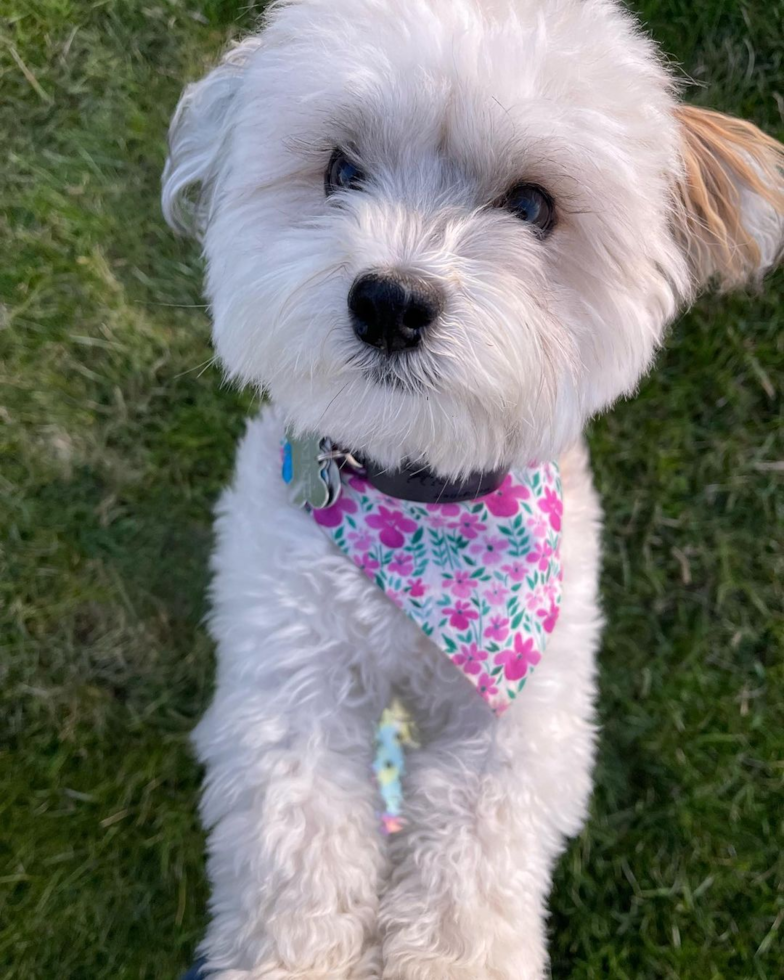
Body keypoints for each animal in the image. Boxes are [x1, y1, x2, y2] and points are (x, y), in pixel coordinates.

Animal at [161, 3, 784, 976]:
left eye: (531, 206)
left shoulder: (526, 728)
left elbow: (468, 884)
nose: (388, 300)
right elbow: (294, 864)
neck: (419, 498)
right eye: (342, 170)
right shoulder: (287, 693)